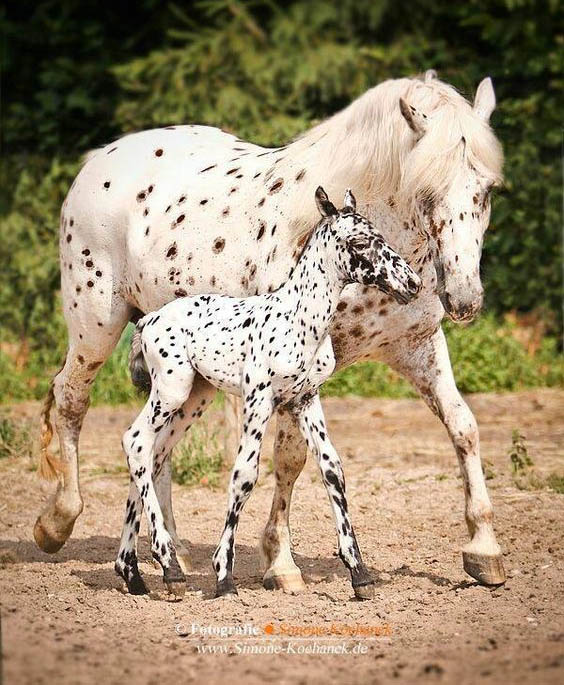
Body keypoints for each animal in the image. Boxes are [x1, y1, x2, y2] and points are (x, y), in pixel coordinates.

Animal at [117, 188, 420, 600]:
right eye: (359, 242)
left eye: (383, 237)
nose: (412, 284)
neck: (298, 321)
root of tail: (148, 320)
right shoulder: (258, 400)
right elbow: (244, 475)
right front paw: (224, 577)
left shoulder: (307, 399)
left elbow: (332, 470)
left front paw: (360, 574)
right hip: (171, 390)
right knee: (135, 441)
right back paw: (168, 566)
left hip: (193, 398)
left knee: (152, 454)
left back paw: (134, 572)